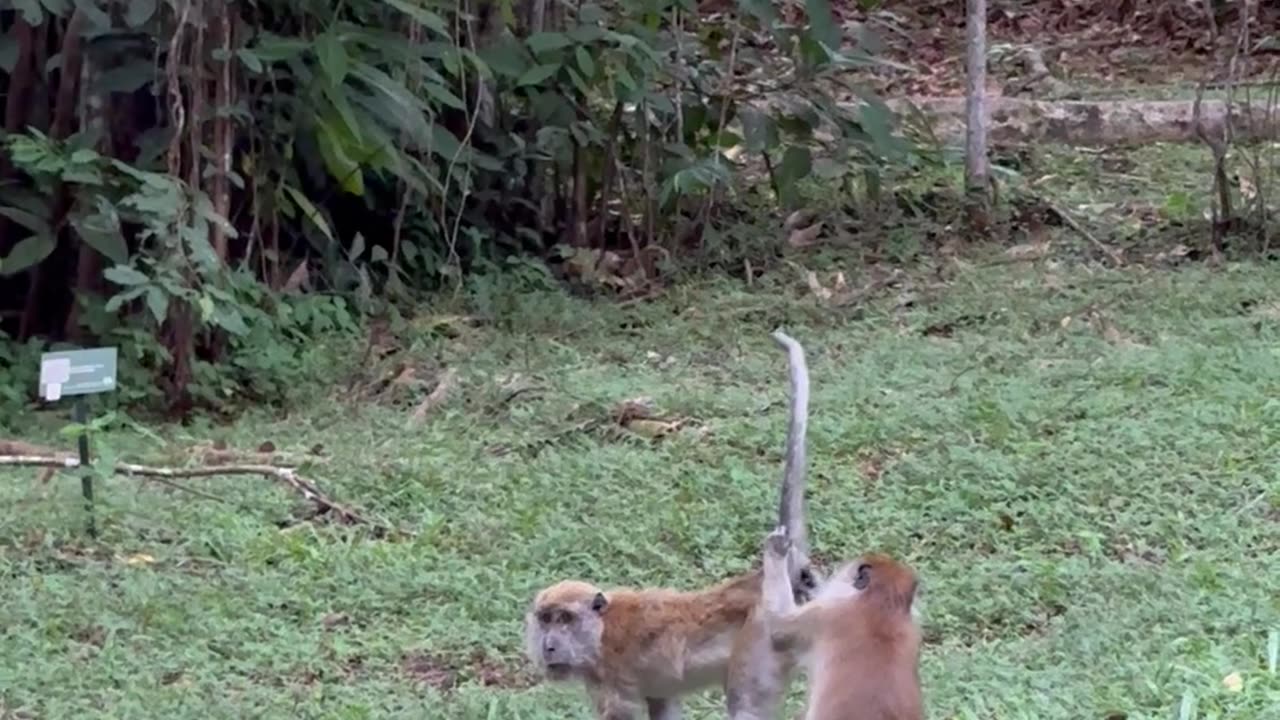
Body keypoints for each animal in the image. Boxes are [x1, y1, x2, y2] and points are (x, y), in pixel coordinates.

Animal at [522, 330, 814, 717]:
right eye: (545, 619)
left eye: (564, 620)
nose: (549, 646)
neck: (600, 629)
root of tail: (760, 581)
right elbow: (663, 705)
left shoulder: (610, 675)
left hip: (761, 639)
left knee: (745, 707)